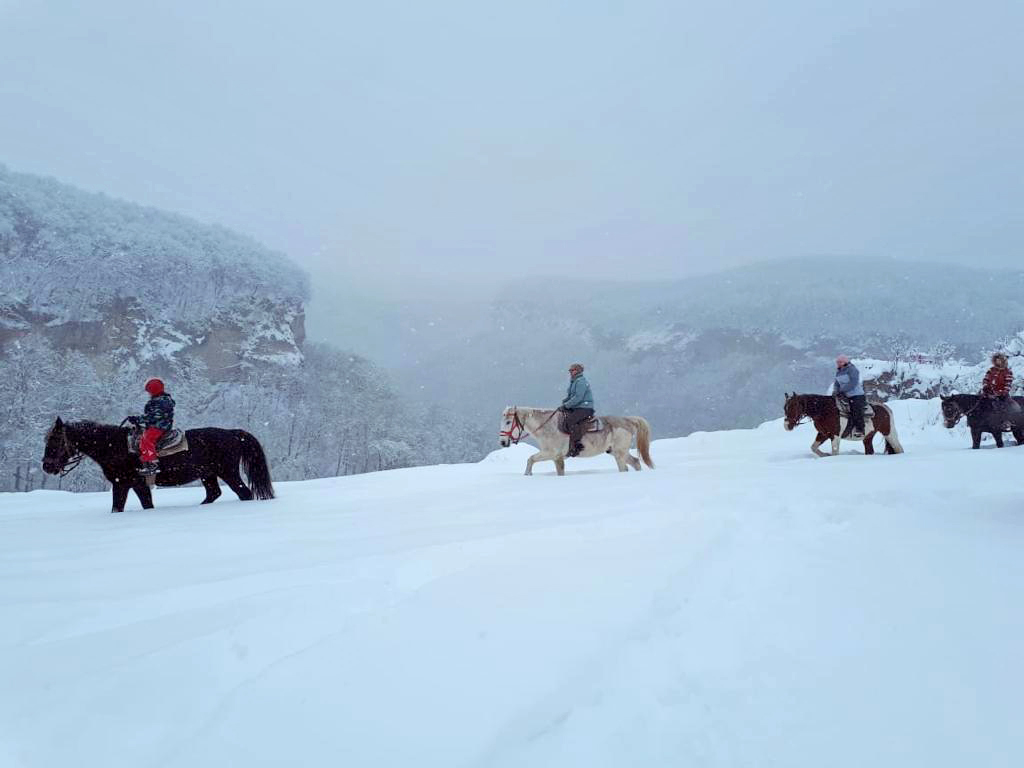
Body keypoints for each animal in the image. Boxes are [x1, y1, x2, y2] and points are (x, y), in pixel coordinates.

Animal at [43, 417, 276, 514]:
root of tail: (232, 433)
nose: (47, 466)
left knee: (244, 493)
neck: (115, 446)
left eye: (55, 441)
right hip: (208, 475)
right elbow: (122, 507)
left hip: (228, 472)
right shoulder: (126, 485)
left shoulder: (132, 483)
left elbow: (141, 505)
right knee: (213, 493)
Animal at [497, 409, 655, 475]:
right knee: (635, 462)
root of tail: (628, 421)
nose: (503, 442)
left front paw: (527, 474)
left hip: (619, 453)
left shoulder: (551, 454)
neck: (548, 426)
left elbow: (530, 459)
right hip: (617, 452)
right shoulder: (555, 457)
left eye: (508, 421)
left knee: (625, 467)